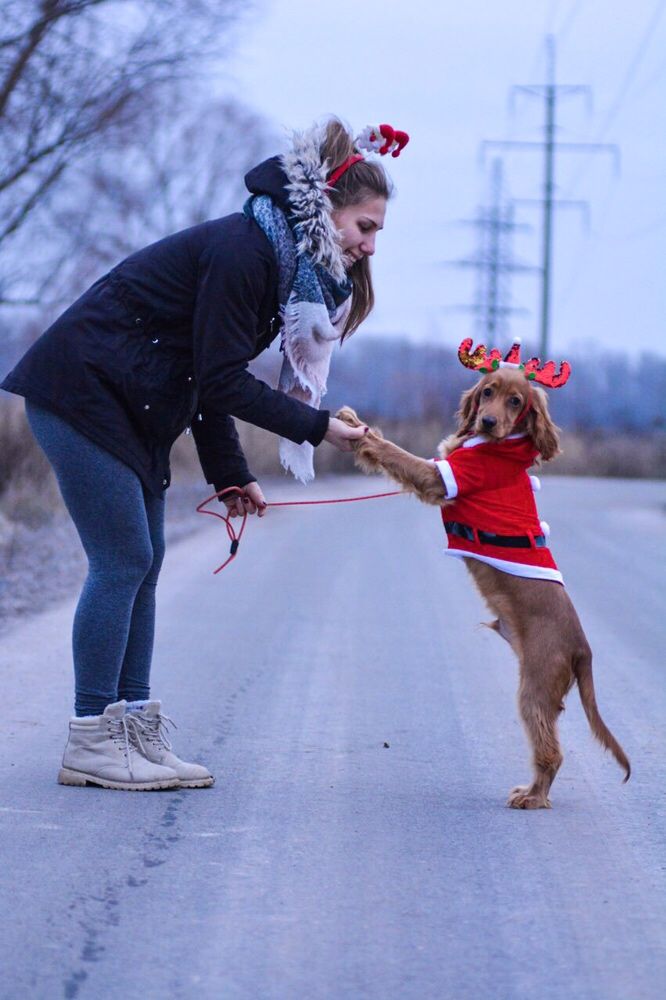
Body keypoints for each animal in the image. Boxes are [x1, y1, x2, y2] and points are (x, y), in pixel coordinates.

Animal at [338, 340, 628, 808]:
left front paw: (353, 425)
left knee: (551, 751)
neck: (499, 445)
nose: (489, 421)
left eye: (516, 401)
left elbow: (393, 451)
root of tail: (583, 649)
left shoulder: (440, 477)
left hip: (534, 689)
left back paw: (532, 797)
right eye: (487, 391)